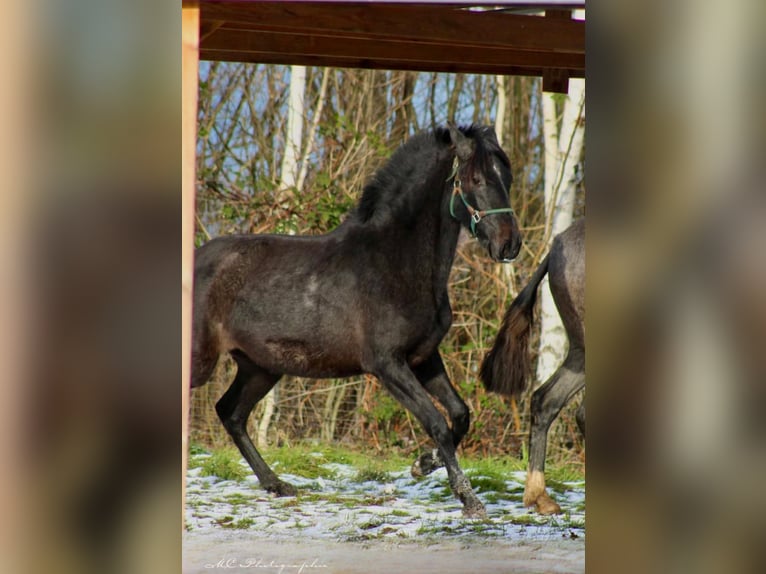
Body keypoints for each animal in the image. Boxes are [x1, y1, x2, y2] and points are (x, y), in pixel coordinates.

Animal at [191, 125, 520, 516]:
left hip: (260, 367)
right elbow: (437, 423)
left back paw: (277, 484)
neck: (397, 263)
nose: (510, 245)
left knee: (231, 413)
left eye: (507, 177)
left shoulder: (423, 357)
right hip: (202, 361)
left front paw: (422, 464)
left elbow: (460, 414)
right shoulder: (387, 365)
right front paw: (468, 499)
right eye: (476, 179)